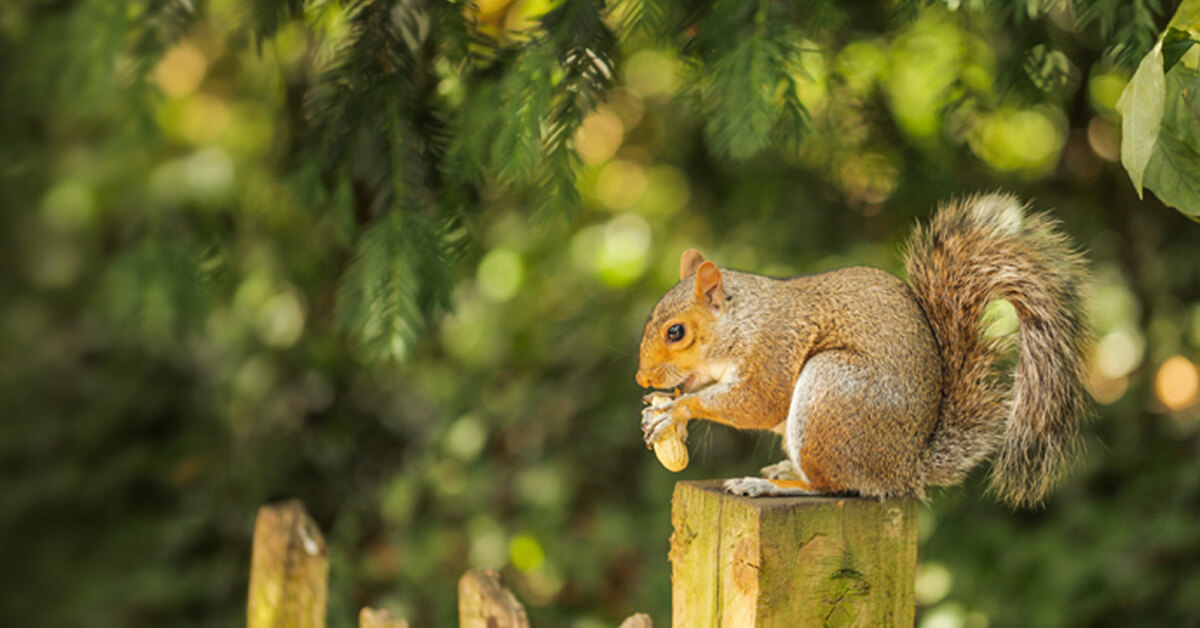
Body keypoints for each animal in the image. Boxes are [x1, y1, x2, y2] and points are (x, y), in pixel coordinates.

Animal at [638, 194, 1099, 509]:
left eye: (676, 332)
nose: (643, 378)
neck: (744, 321)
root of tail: (905, 469)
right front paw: (660, 411)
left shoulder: (772, 349)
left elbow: (758, 403)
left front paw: (677, 411)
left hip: (831, 389)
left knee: (833, 486)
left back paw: (768, 485)